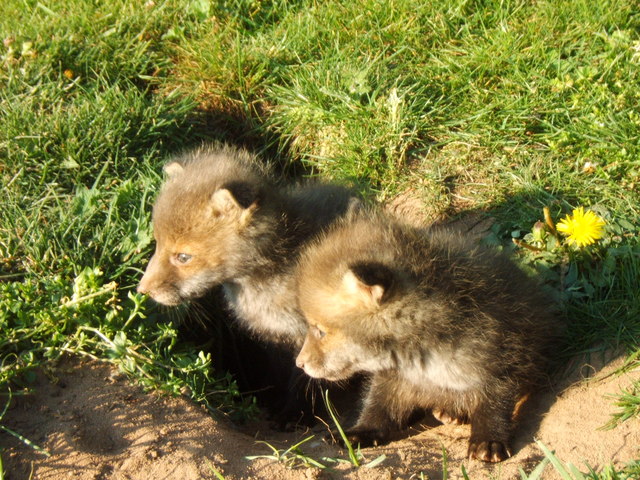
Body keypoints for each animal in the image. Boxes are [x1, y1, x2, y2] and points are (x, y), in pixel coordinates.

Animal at [295, 211, 562, 462]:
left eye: (320, 330)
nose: (299, 363)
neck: (421, 362)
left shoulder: (499, 361)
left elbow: (493, 405)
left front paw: (488, 440)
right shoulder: (393, 380)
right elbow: (377, 409)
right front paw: (358, 433)